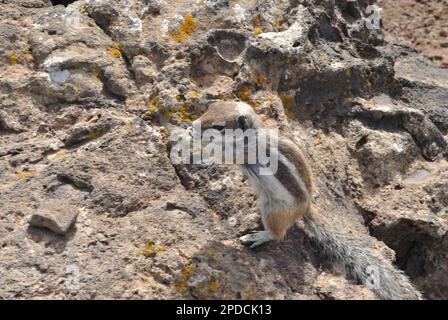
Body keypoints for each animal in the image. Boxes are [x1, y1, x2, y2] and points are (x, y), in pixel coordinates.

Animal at [193, 100, 424, 300]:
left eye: (220, 127)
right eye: (210, 108)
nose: (194, 126)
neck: (253, 134)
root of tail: (306, 208)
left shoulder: (243, 152)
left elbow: (222, 156)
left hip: (272, 210)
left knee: (278, 234)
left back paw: (258, 236)